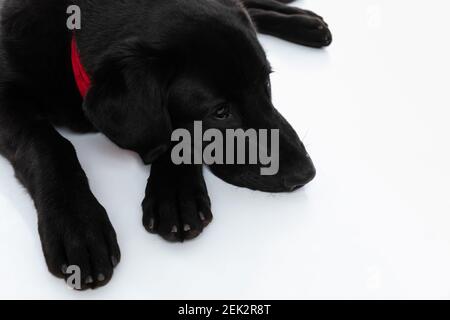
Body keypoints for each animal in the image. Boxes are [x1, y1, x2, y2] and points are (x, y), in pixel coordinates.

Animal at [0, 0, 330, 288]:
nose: (306, 172)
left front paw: (176, 195)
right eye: (220, 111)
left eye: (267, 84)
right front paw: (79, 224)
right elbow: (50, 144)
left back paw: (306, 23)